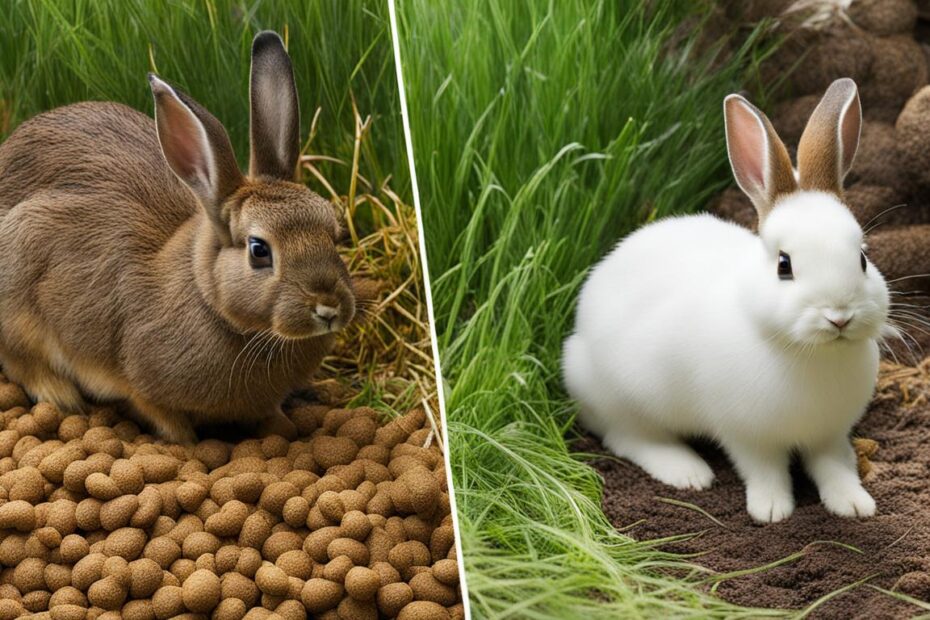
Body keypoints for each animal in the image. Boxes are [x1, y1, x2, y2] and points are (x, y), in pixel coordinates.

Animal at [0, 31, 355, 444]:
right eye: (258, 250)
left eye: (335, 235)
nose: (328, 308)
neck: (208, 299)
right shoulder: (140, 386)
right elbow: (166, 419)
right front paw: (187, 443)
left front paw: (282, 426)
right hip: (18, 287)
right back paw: (62, 395)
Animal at [563, 78, 892, 523]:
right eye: (784, 265)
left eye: (862, 258)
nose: (839, 316)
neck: (809, 354)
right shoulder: (746, 435)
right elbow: (764, 469)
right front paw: (771, 509)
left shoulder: (829, 434)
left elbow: (835, 465)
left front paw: (854, 504)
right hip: (623, 398)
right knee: (627, 437)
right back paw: (687, 471)